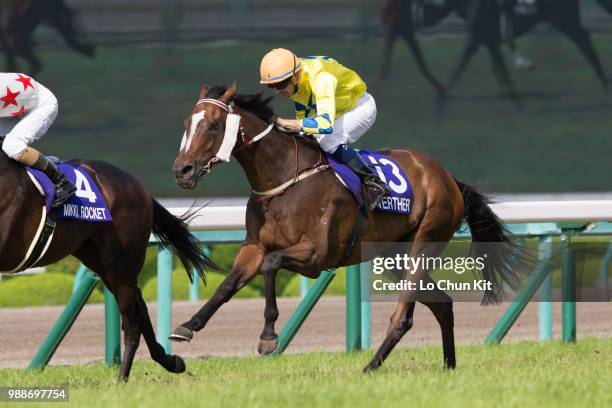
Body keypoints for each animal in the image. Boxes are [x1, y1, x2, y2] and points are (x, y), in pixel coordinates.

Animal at [0, 151, 219, 380]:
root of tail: (139, 186)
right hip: (100, 261)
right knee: (139, 306)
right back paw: (170, 361)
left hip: (120, 263)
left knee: (132, 324)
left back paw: (122, 379)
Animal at [169, 83, 532, 372]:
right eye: (186, 124)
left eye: (213, 126)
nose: (182, 171)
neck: (285, 178)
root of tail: (447, 177)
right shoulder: (254, 248)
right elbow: (228, 285)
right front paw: (187, 325)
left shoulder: (317, 255)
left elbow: (272, 266)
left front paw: (268, 337)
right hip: (394, 256)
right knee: (442, 304)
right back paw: (449, 365)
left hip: (424, 243)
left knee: (404, 315)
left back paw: (371, 366)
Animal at [384, 0, 608, 102]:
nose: (399, 21)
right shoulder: (484, 38)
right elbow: (494, 64)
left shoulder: (479, 35)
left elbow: (462, 64)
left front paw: (443, 95)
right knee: (585, 39)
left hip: (565, 20)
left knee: (585, 42)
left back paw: (604, 81)